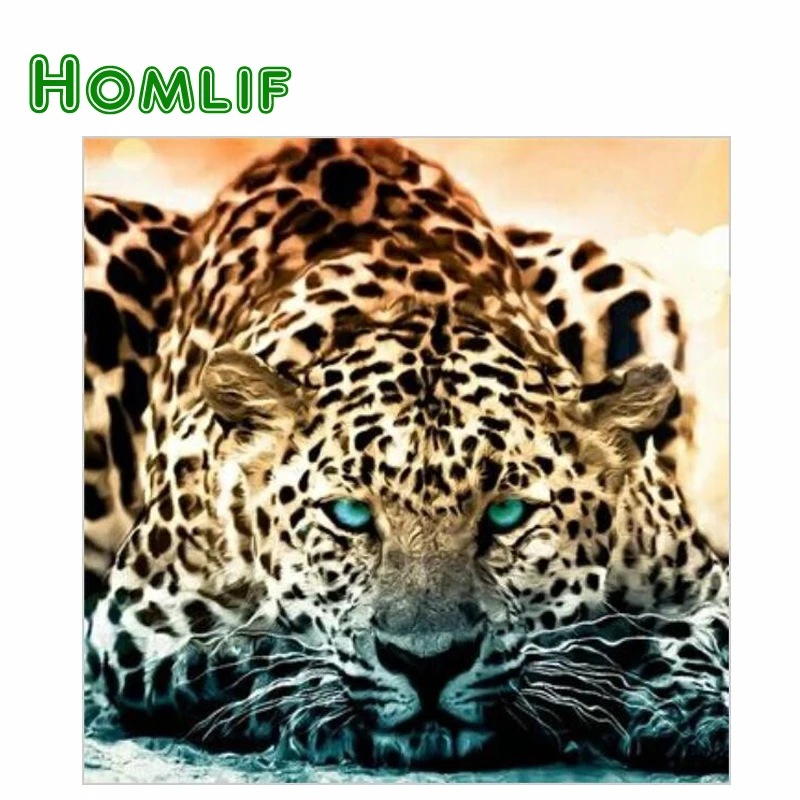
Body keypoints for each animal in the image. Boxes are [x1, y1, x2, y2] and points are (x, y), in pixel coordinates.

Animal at [84, 138, 729, 774]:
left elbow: (693, 638)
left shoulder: (699, 584)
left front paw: (682, 709)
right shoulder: (140, 621)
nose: (427, 662)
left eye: (507, 514)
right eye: (349, 516)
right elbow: (248, 653)